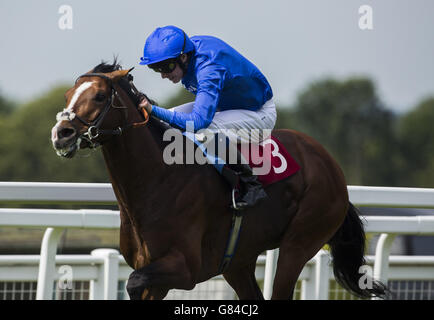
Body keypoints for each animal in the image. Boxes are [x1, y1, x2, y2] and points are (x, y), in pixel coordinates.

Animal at [50, 60, 386, 300]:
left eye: (99, 95)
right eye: (68, 95)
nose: (61, 133)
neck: (158, 181)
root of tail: (330, 164)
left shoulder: (185, 268)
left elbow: (133, 283)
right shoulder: (156, 272)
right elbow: (137, 284)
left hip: (301, 241)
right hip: (238, 262)